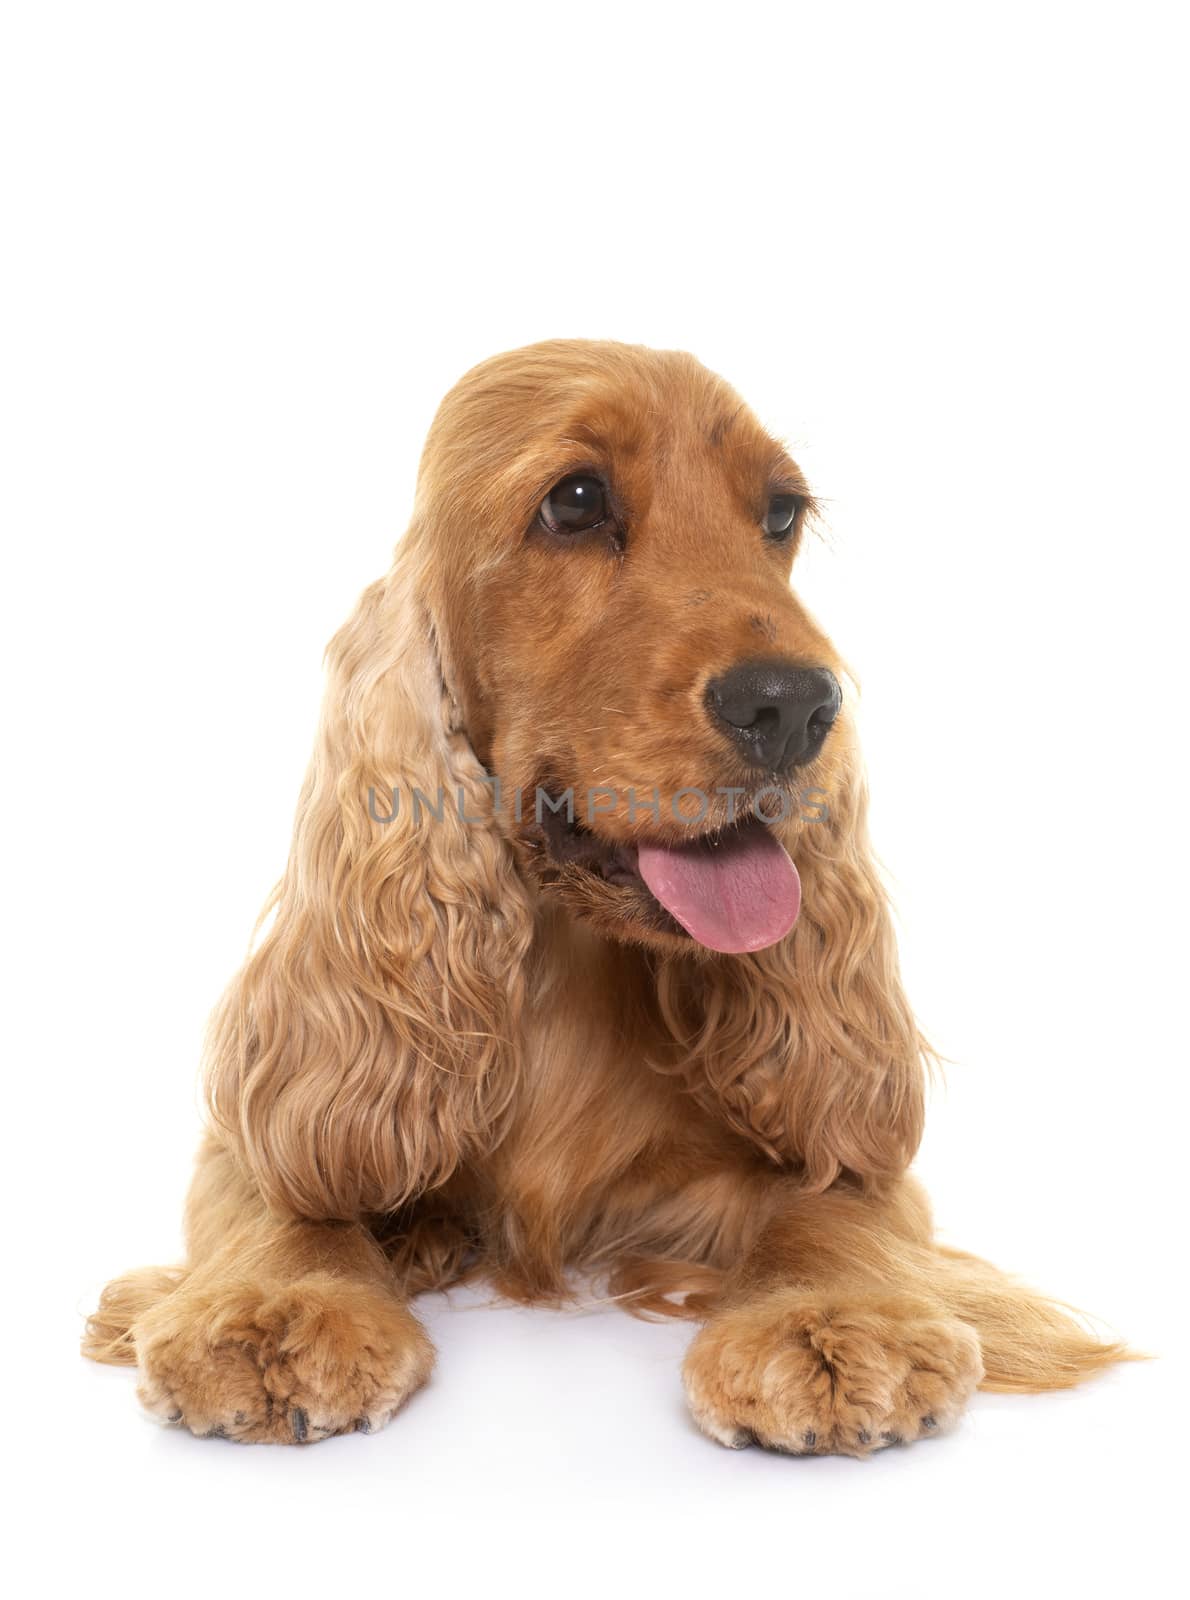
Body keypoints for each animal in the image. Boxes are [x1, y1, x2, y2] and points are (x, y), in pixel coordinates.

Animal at [83, 337, 1126, 1452]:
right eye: (575, 501)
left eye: (779, 513)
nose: (796, 706)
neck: (566, 971)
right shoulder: (265, 1114)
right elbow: (277, 1199)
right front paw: (280, 1310)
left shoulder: (845, 1158)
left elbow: (834, 1206)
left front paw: (832, 1323)